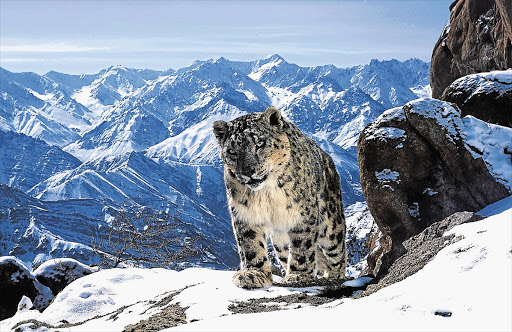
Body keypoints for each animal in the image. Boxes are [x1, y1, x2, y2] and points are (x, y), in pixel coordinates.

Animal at [212, 105, 348, 288]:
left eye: (260, 143)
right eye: (232, 151)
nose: (247, 172)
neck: (266, 193)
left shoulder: (302, 215)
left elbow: (302, 247)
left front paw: (298, 275)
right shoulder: (245, 214)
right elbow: (250, 246)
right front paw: (254, 274)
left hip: (331, 225)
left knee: (337, 253)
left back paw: (334, 275)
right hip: (280, 242)